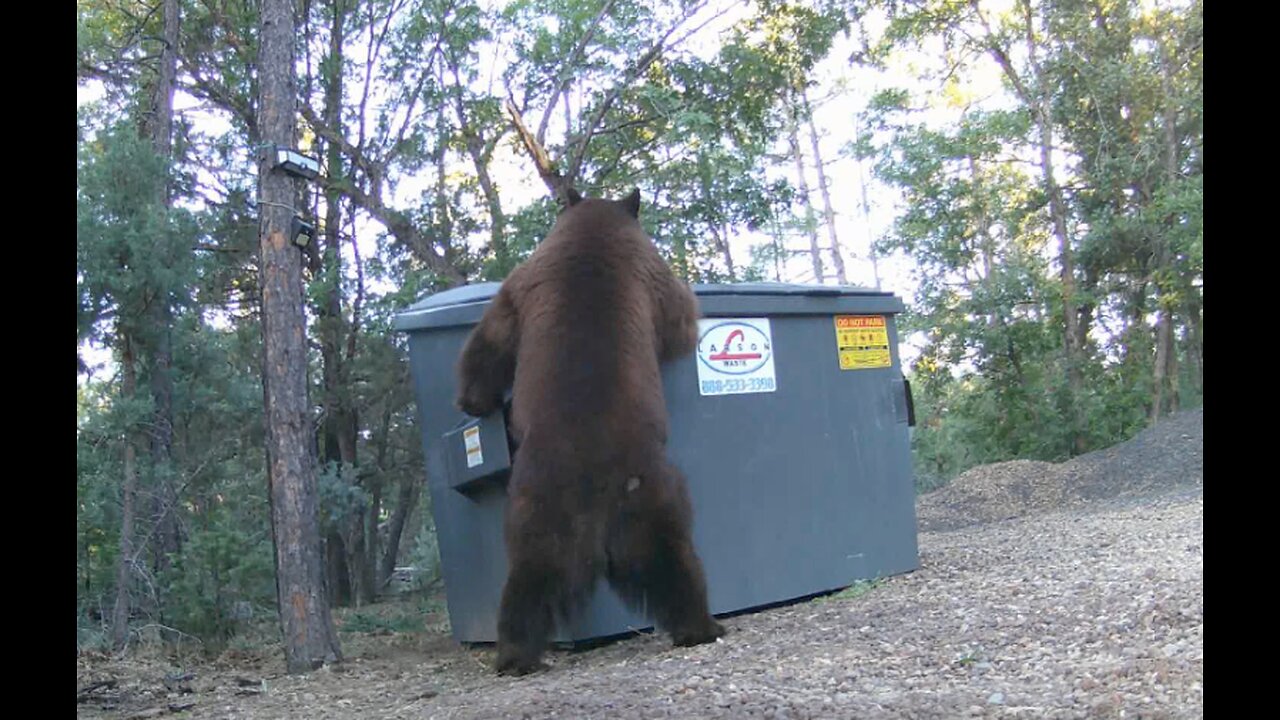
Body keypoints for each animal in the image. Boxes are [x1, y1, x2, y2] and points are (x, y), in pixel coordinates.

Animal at [455, 185, 727, 671]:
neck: (592, 230)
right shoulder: (647, 273)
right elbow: (677, 312)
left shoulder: (527, 279)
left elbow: (494, 334)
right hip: (635, 493)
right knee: (668, 555)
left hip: (566, 507)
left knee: (539, 574)